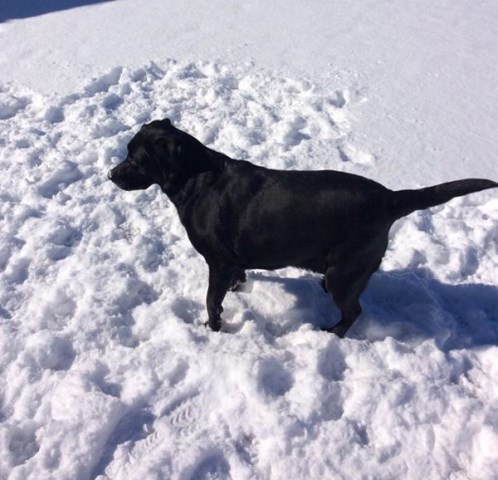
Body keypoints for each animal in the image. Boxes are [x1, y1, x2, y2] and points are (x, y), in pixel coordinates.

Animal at [108, 119, 494, 338]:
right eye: (127, 153)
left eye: (135, 159)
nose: (110, 174)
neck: (196, 179)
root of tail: (389, 197)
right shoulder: (231, 262)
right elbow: (235, 280)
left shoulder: (217, 261)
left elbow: (211, 301)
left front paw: (213, 329)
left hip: (344, 271)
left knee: (353, 310)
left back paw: (333, 332)